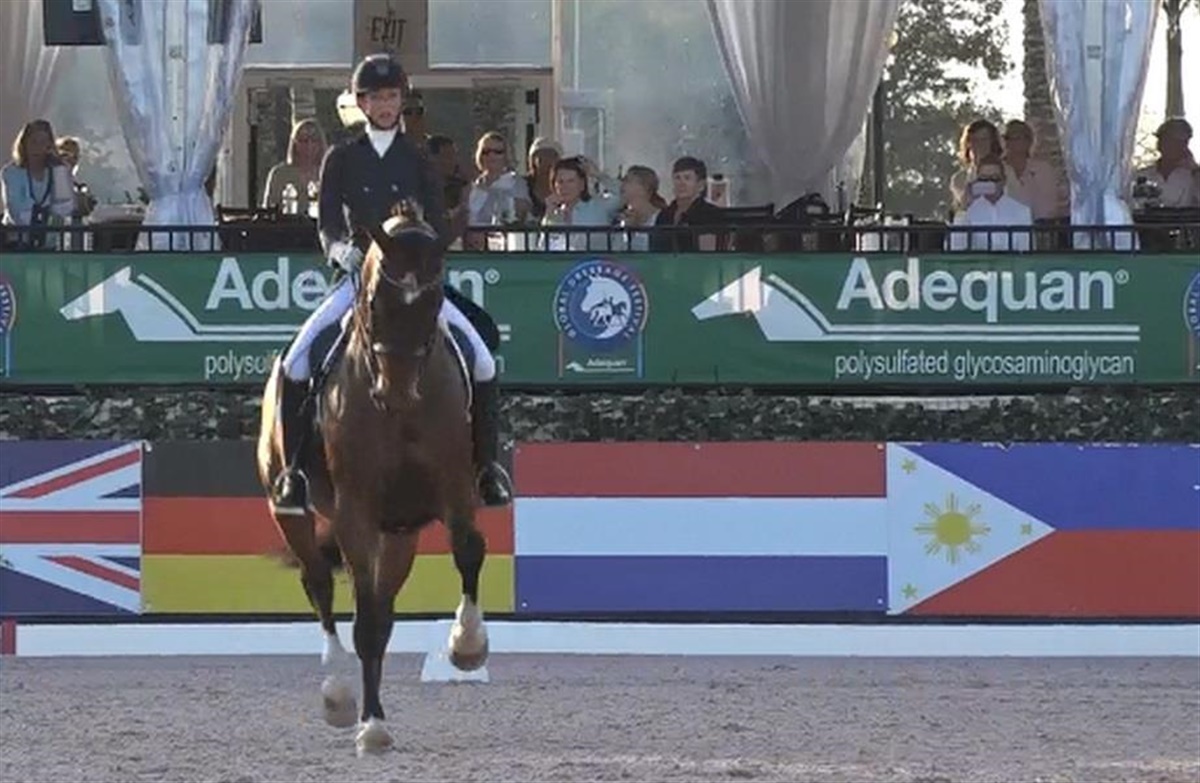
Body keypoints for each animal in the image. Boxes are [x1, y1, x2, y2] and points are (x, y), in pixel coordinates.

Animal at [256, 201, 489, 756]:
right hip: (288, 508)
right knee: (319, 584)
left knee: (381, 610)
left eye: (434, 300)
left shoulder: (454, 492)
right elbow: (358, 617)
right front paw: (370, 725)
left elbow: (469, 549)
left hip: (399, 534)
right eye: (374, 301)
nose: (396, 392)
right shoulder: (354, 511)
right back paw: (340, 695)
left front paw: (467, 646)